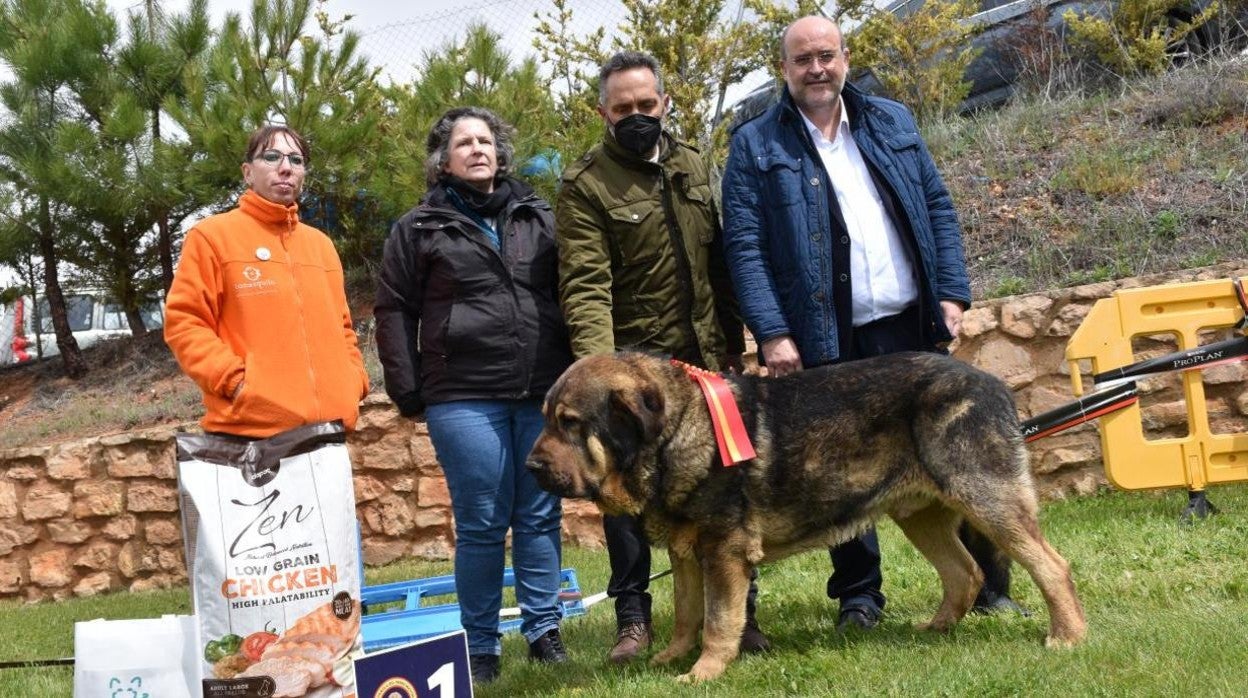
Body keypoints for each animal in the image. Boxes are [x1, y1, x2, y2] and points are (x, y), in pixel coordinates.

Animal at [526, 352, 1083, 679]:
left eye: (570, 423)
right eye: (547, 420)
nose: (531, 467)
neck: (675, 431)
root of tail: (993, 381)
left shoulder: (722, 551)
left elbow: (719, 619)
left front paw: (703, 672)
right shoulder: (687, 552)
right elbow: (686, 612)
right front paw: (670, 658)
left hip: (987, 498)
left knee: (1051, 566)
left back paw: (1067, 637)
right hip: (921, 515)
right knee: (964, 572)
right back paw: (936, 629)